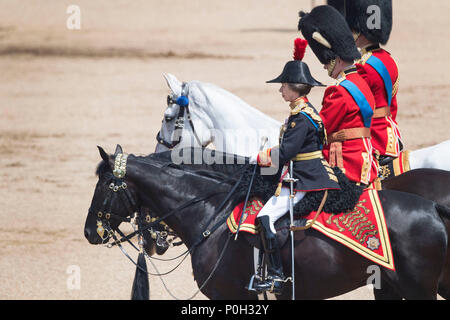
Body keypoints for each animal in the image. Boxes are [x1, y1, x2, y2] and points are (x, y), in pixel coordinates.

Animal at [86, 148, 448, 300]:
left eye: (104, 185)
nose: (90, 232)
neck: (210, 216)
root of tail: (432, 206)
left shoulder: (229, 295)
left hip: (417, 290)